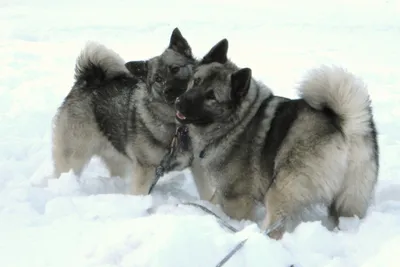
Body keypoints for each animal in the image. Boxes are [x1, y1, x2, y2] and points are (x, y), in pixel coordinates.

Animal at [51, 27, 195, 195]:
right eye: (158, 79)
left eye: (175, 69)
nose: (169, 91)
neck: (179, 127)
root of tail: (88, 81)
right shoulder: (146, 169)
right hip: (74, 156)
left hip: (117, 158)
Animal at [174, 39, 378, 241]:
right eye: (196, 81)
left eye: (211, 96)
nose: (178, 103)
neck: (238, 122)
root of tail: (345, 125)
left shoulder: (236, 198)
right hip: (349, 200)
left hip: (281, 190)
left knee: (276, 226)